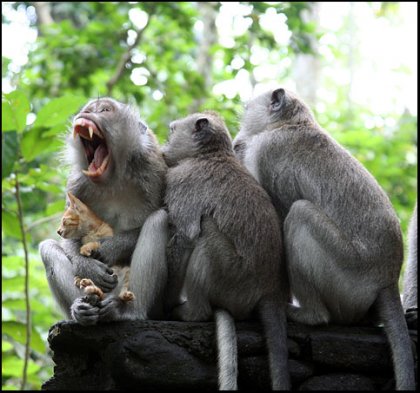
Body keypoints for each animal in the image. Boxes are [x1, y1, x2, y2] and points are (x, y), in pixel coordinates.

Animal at [38, 98, 169, 324]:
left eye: (105, 110)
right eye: (87, 110)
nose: (86, 114)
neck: (113, 177)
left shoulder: (154, 173)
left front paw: (110, 248)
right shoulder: (77, 183)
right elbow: (69, 235)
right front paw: (87, 266)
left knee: (158, 220)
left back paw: (129, 312)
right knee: (47, 248)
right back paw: (83, 309)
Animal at [162, 112, 290, 390]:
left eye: (171, 131)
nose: (164, 147)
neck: (210, 154)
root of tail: (270, 289)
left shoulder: (182, 181)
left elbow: (185, 236)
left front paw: (165, 303)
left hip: (233, 280)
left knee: (206, 232)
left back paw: (193, 313)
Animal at [233, 87, 416, 390]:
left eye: (247, 110)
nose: (238, 135)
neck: (290, 123)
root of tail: (389, 278)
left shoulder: (266, 152)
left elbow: (280, 213)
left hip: (348, 278)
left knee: (300, 215)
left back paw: (310, 314)